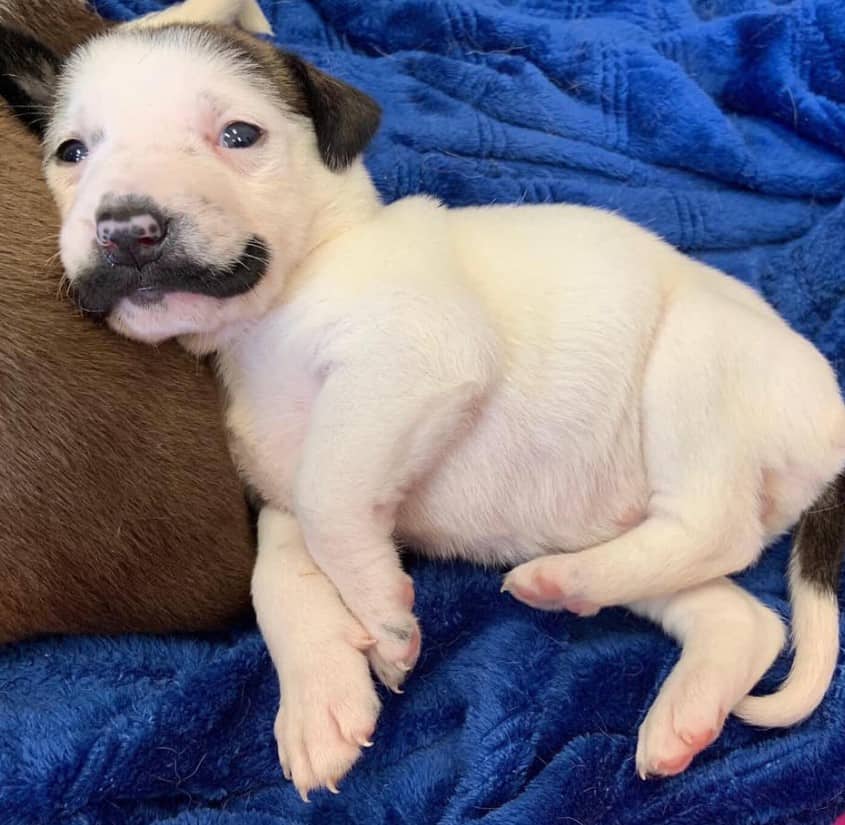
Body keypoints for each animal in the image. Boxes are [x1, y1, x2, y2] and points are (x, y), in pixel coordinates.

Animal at [8, 17, 844, 800]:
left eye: (239, 135)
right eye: (72, 151)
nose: (125, 229)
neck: (268, 316)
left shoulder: (412, 359)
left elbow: (328, 500)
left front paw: (380, 617)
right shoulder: (277, 476)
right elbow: (278, 569)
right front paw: (321, 698)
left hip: (695, 367)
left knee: (715, 525)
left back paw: (565, 583)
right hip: (636, 530)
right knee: (744, 618)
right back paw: (663, 688)